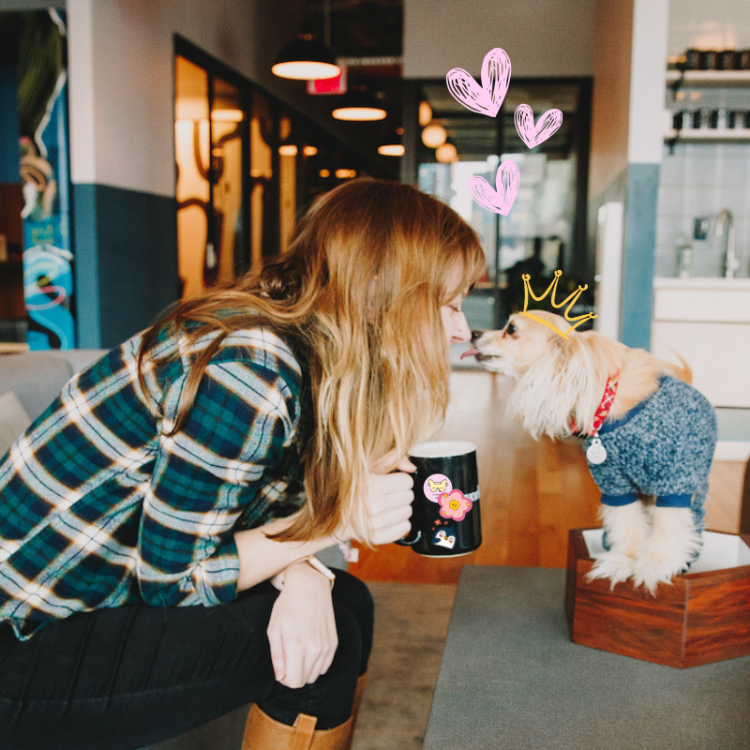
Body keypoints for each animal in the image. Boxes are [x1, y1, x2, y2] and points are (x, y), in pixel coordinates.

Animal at [468, 310, 720, 592]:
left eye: (510, 329)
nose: (473, 333)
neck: (608, 400)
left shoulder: (674, 483)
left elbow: (668, 528)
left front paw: (654, 567)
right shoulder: (616, 486)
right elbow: (628, 526)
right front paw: (623, 561)